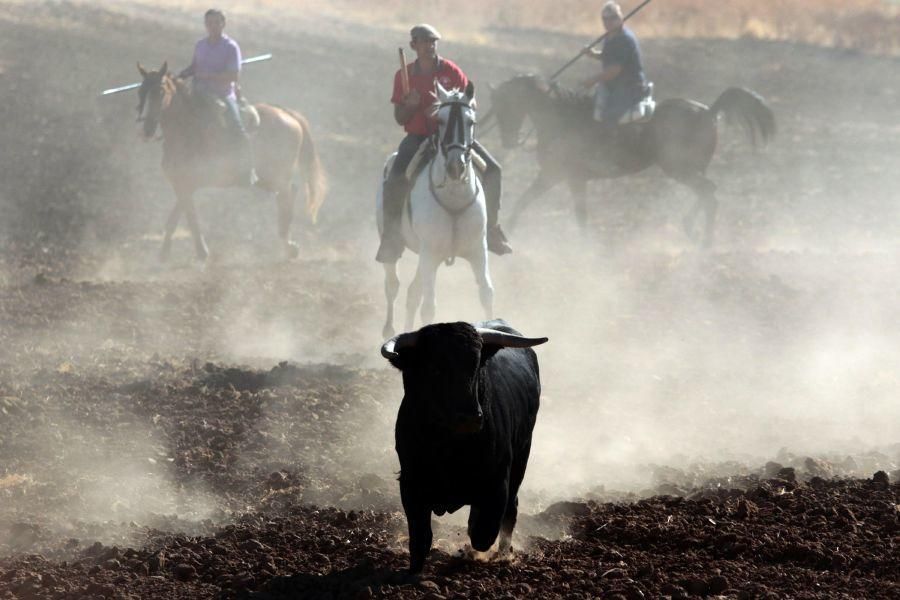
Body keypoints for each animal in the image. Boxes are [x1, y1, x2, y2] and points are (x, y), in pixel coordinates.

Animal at [135, 62, 326, 262]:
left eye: (161, 91)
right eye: (141, 91)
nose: (147, 129)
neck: (188, 130)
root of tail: (287, 114)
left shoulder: (189, 184)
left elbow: (190, 217)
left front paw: (202, 253)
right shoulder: (182, 185)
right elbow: (176, 217)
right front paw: (164, 253)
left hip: (278, 175)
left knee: (286, 196)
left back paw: (288, 243)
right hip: (266, 178)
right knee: (290, 192)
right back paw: (289, 244)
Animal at [376, 82, 496, 340]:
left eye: (471, 121)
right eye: (440, 120)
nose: (455, 167)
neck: (453, 197)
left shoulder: (477, 250)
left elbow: (486, 294)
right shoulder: (430, 253)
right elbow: (429, 308)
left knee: (412, 293)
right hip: (402, 247)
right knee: (393, 285)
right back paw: (389, 329)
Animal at [382, 322, 548, 576]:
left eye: (477, 364)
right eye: (434, 368)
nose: (469, 417)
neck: (451, 448)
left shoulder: (497, 484)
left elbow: (482, 532)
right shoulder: (411, 484)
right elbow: (420, 537)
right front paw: (413, 571)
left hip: (522, 456)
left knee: (510, 511)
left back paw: (503, 555)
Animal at [488, 75, 776, 246]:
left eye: (505, 106)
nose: (508, 142)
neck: (561, 116)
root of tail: (709, 111)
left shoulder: (562, 176)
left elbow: (565, 211)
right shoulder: (560, 177)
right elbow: (529, 202)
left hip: (679, 169)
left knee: (708, 193)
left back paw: (704, 240)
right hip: (690, 169)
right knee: (708, 193)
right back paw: (691, 229)